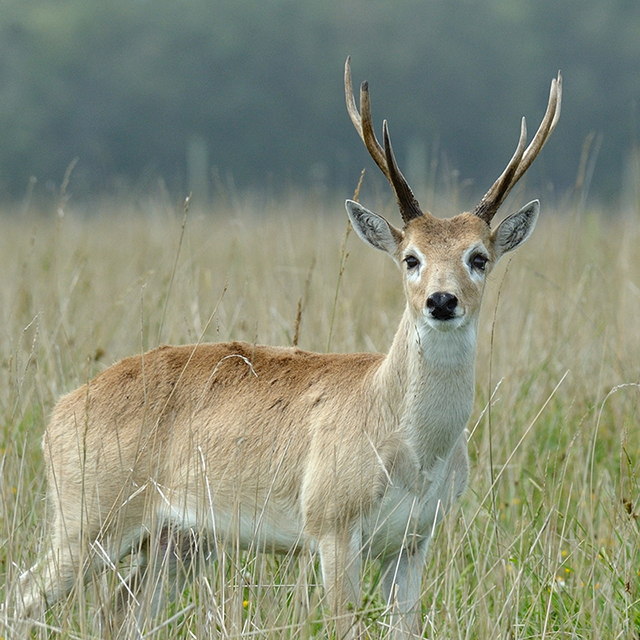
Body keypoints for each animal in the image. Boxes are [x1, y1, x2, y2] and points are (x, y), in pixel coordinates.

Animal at [11, 58, 560, 640]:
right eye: (410, 257)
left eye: (479, 257)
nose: (441, 300)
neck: (410, 444)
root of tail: (58, 413)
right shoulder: (331, 526)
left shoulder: (414, 541)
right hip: (87, 518)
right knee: (22, 595)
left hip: (177, 541)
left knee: (116, 613)